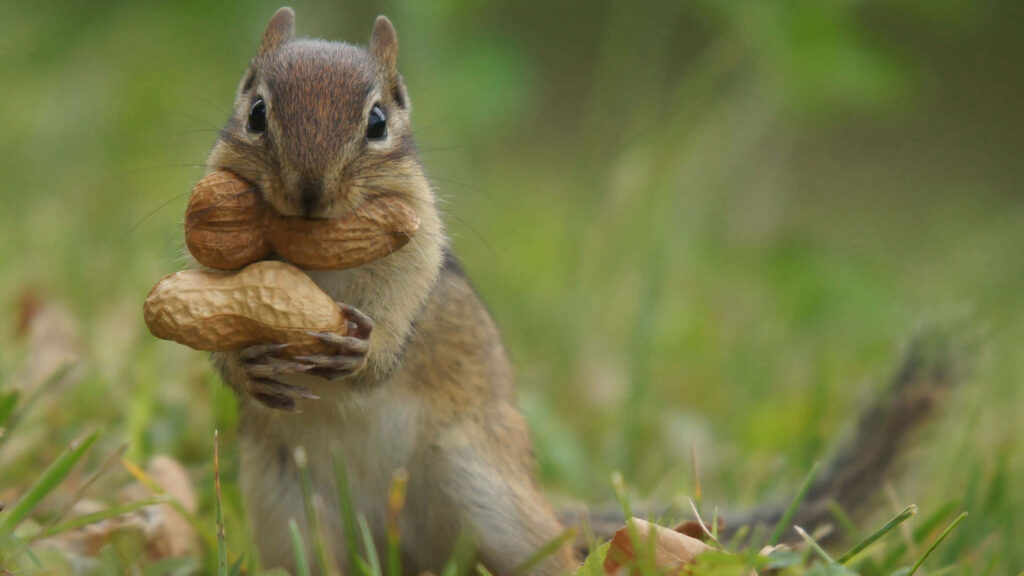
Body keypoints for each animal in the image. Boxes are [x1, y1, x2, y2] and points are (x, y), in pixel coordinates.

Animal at [197, 7, 970, 575]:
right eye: (256, 112)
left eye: (378, 122)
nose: (308, 195)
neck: (314, 255)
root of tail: (400, 547)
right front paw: (247, 366)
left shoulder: (418, 253)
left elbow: (401, 316)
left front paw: (365, 354)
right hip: (290, 515)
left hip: (490, 497)